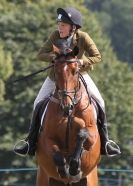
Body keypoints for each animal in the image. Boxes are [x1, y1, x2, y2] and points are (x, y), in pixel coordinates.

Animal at [35, 46, 100, 186]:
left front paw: (74, 167)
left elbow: (83, 132)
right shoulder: (46, 138)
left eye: (75, 71)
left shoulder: (92, 136)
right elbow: (58, 156)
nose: (67, 107)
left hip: (90, 179)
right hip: (44, 177)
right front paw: (64, 170)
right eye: (56, 71)